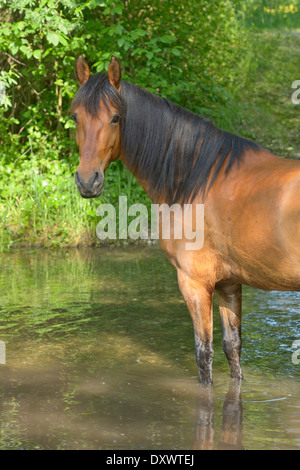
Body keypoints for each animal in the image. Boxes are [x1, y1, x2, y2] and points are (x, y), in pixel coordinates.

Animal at [70, 56, 300, 386]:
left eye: (115, 117)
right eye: (75, 117)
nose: (88, 181)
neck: (198, 178)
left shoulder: (195, 282)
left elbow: (204, 355)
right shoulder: (229, 283)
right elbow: (233, 350)